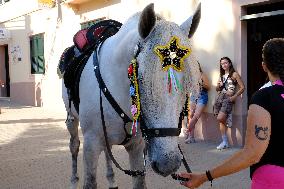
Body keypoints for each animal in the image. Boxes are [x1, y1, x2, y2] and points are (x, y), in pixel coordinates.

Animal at [62, 2, 201, 189]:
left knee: (107, 151)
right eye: (140, 79)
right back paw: (73, 180)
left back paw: (111, 179)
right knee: (74, 145)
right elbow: (90, 181)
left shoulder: (136, 146)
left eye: (187, 83)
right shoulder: (91, 144)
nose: (168, 163)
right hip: (71, 119)